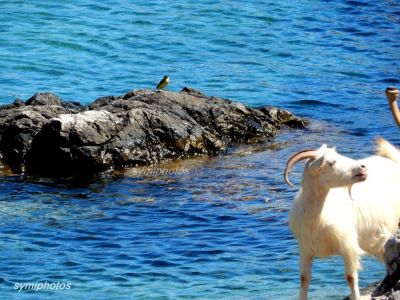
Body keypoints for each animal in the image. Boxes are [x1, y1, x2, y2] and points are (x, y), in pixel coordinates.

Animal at [284, 139, 400, 300]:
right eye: (331, 162)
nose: (363, 168)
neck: (317, 217)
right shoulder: (306, 249)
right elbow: (303, 278)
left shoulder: (348, 246)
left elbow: (351, 278)